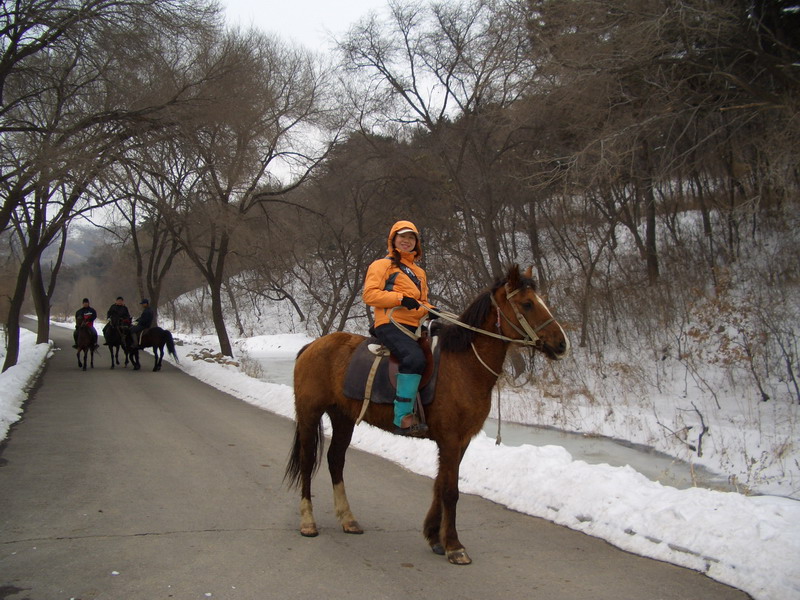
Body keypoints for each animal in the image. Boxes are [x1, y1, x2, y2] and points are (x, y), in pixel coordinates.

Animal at [284, 264, 572, 564]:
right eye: (527, 304)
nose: (562, 344)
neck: (464, 366)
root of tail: (312, 346)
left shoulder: (460, 441)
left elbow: (440, 484)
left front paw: (435, 537)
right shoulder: (450, 439)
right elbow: (450, 491)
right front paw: (454, 546)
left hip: (343, 418)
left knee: (335, 460)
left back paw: (348, 519)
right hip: (309, 414)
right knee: (307, 461)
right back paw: (308, 522)